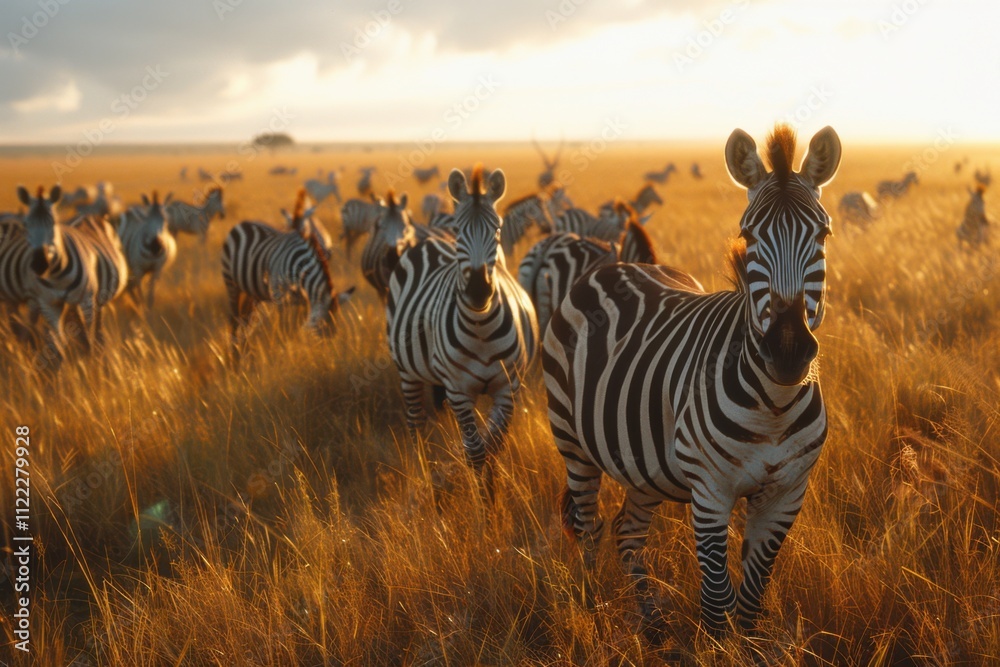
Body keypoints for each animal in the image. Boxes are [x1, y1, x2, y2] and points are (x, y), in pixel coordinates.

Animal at [221, 192, 354, 357]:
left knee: (246, 319)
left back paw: (243, 348)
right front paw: (282, 350)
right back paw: (234, 353)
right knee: (234, 319)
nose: (326, 352)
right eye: (322, 325)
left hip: (253, 291)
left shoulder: (303, 299)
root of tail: (243, 223)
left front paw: (295, 346)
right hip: (231, 283)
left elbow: (296, 325)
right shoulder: (279, 297)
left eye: (335, 328)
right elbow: (283, 327)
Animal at [386, 165, 538, 474]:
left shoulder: (508, 389)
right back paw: (422, 470)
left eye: (497, 229)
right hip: (407, 372)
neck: (482, 329)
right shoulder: (458, 392)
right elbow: (477, 454)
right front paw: (481, 486)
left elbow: (493, 446)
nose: (478, 292)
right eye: (458, 230)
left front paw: (494, 484)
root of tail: (429, 242)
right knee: (415, 423)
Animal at [543, 125, 841, 639]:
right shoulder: (710, 493)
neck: (774, 405)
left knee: (627, 532)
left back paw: (652, 626)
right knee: (588, 528)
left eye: (821, 233)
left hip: (643, 464)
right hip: (573, 444)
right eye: (748, 234)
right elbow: (718, 603)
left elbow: (751, 602)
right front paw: (716, 644)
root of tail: (617, 266)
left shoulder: (786, 497)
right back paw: (591, 614)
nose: (787, 352)